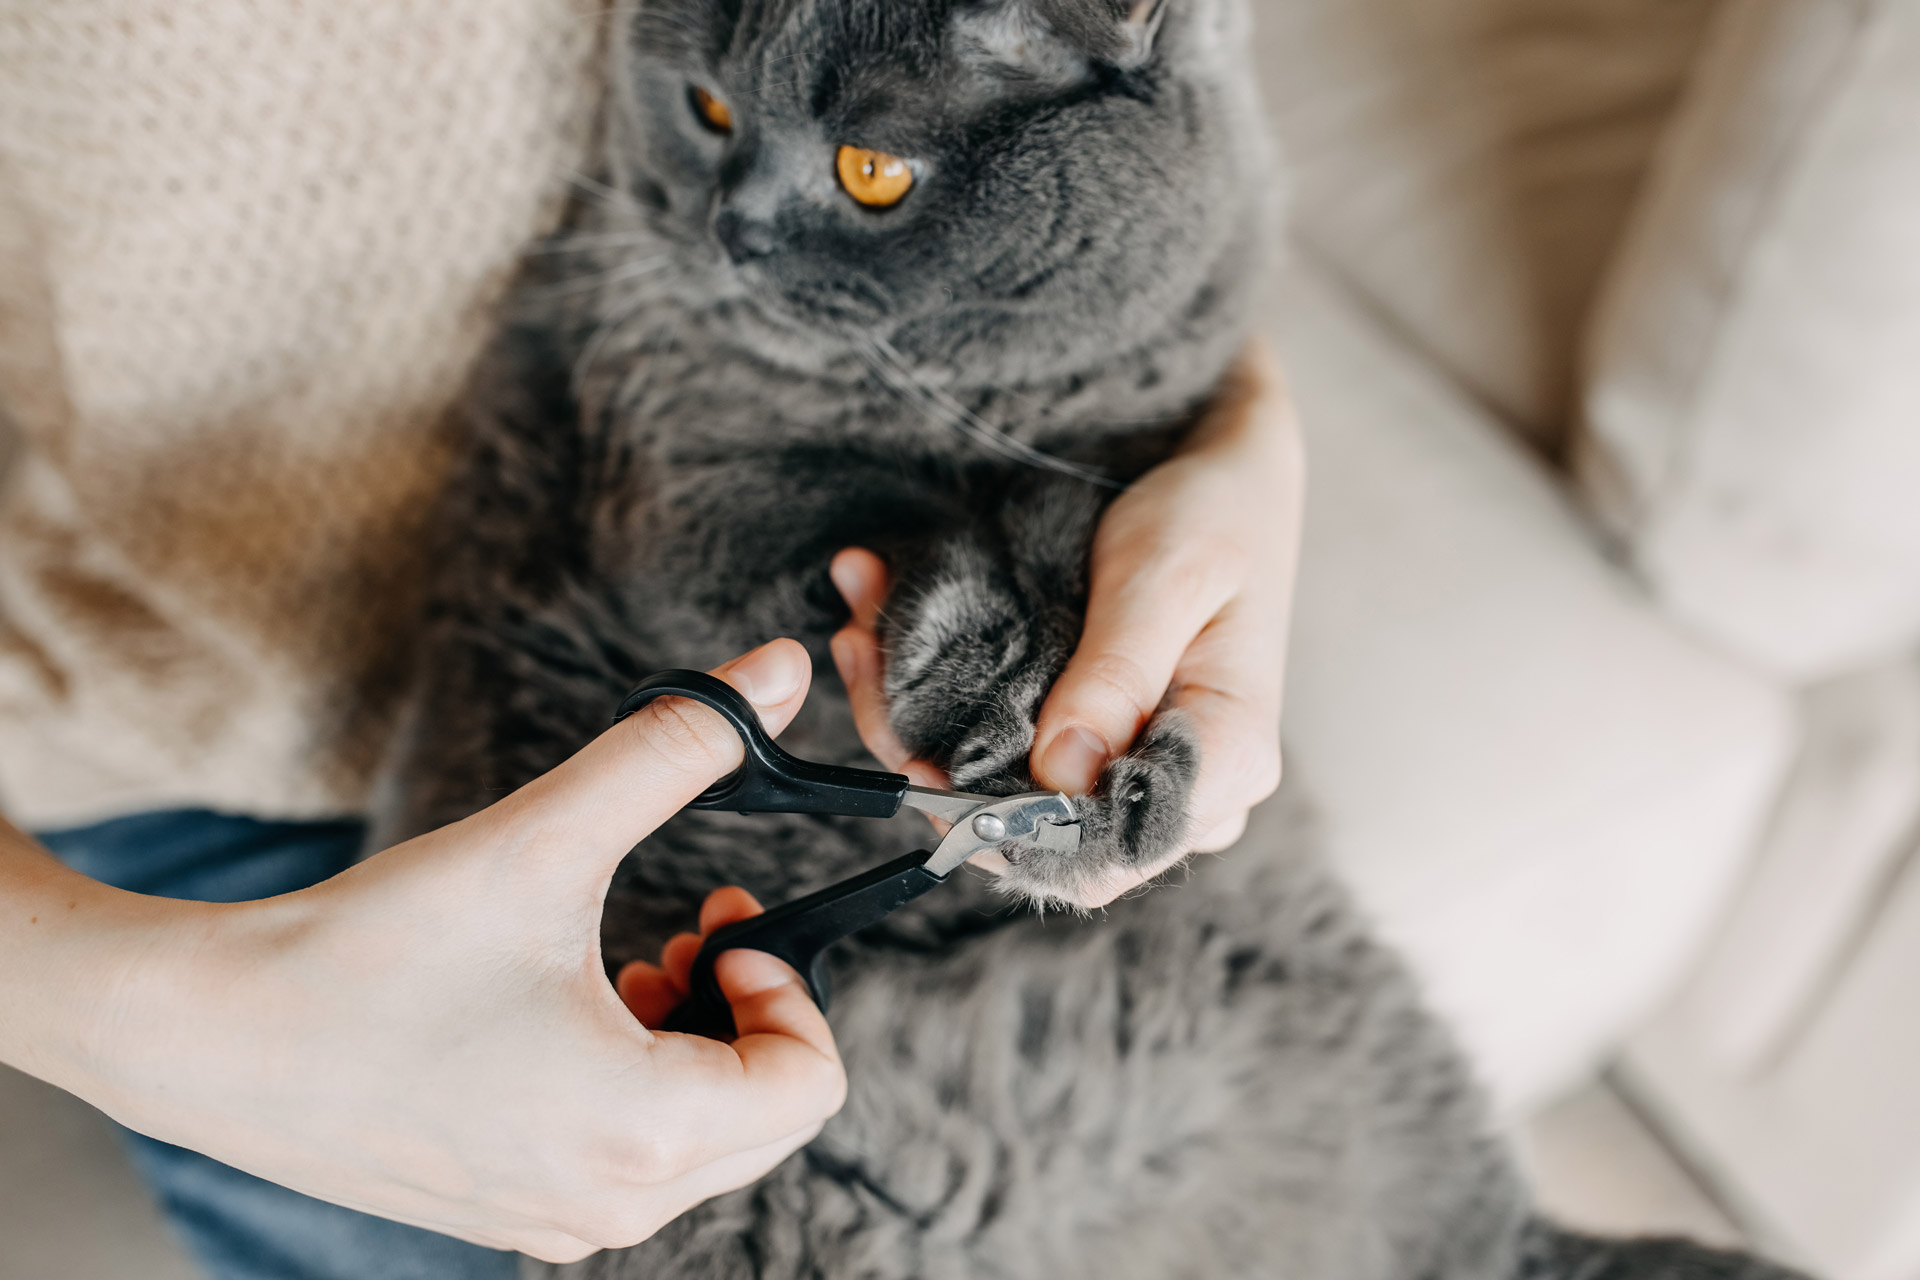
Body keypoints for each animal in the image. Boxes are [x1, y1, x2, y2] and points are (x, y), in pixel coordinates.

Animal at [385, 2, 1797, 1280]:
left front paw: (1114, 776)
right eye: (707, 109)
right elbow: (892, 528)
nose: (732, 232)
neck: (983, 400)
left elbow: (1072, 528)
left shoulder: (1149, 449)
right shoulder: (686, 476)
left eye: (871, 170)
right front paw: (989, 695)